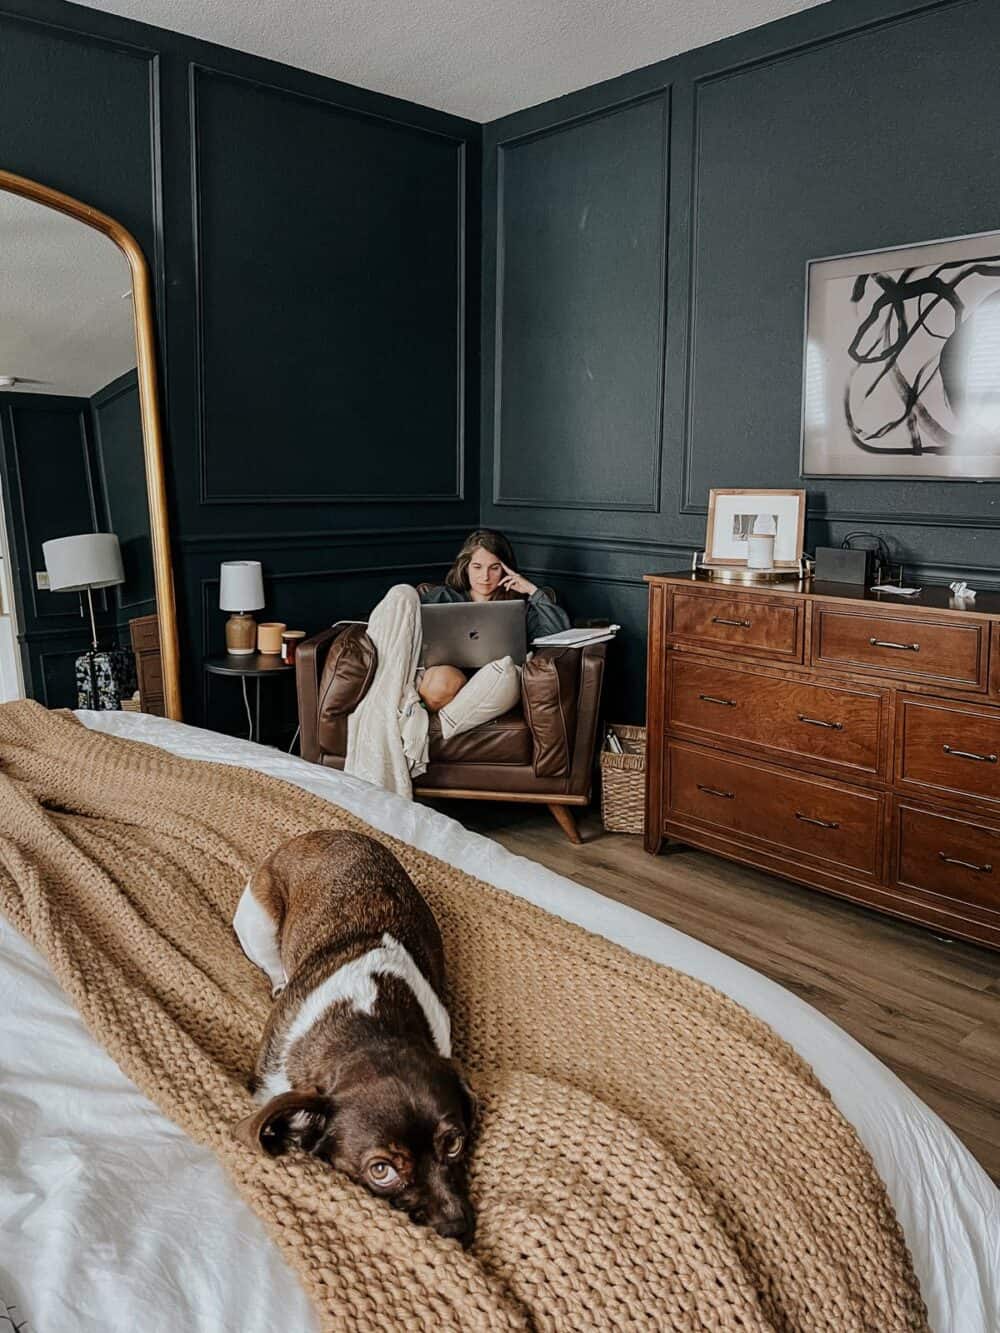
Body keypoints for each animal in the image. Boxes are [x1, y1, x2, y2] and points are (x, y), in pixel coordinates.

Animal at [233, 826, 474, 1242]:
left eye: (455, 1142)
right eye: (381, 1170)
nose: (457, 1231)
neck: (369, 1027)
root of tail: (322, 832)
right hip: (257, 924)